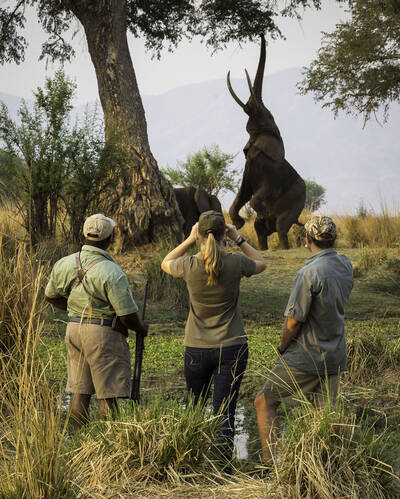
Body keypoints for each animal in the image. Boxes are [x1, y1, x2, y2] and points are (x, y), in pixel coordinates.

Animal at [227, 35, 304, 250]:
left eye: (267, 115)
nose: (261, 33)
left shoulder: (272, 175)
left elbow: (255, 196)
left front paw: (261, 212)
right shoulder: (247, 169)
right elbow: (243, 193)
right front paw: (239, 223)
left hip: (295, 204)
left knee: (282, 227)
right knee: (260, 229)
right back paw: (262, 244)